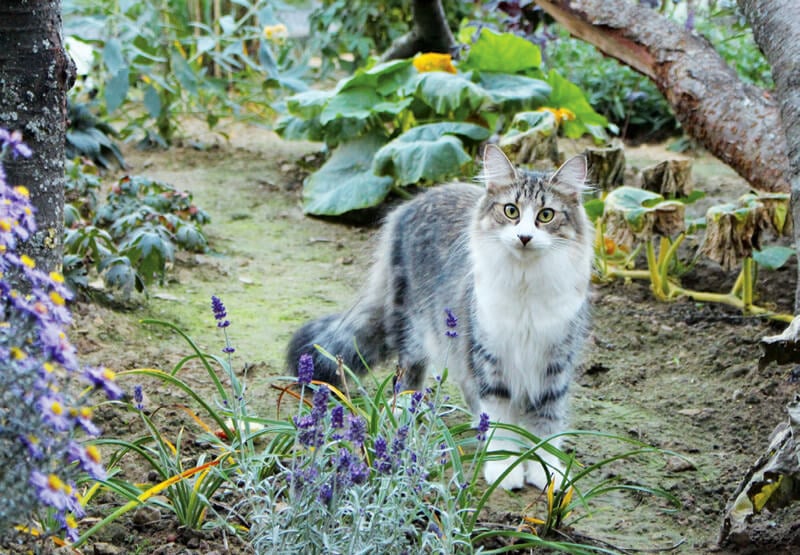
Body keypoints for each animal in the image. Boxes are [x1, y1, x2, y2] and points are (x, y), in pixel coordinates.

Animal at [288, 144, 592, 490]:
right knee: (407, 373)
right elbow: (502, 421)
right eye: (511, 211)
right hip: (414, 326)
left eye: (546, 215)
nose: (524, 237)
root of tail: (412, 203)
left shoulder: (554, 363)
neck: (525, 286)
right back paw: (405, 408)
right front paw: (504, 465)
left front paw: (547, 471)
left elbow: (546, 428)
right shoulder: (490, 360)